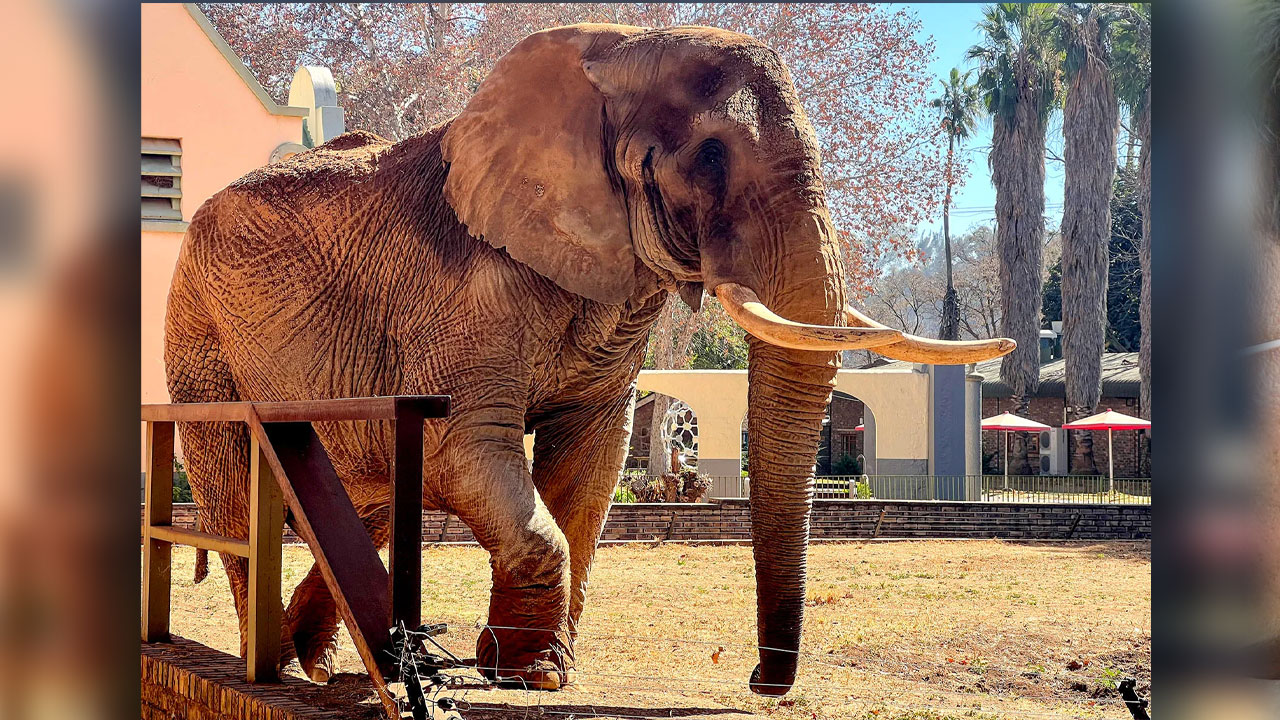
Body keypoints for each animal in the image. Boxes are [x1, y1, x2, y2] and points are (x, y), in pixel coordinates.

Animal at [165, 23, 1013, 696]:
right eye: (711, 156)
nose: (755, 680)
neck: (617, 49)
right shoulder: (461, 293)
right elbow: (461, 449)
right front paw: (531, 674)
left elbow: (590, 459)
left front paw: (532, 672)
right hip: (197, 330)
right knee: (239, 496)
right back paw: (271, 666)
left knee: (358, 498)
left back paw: (318, 666)